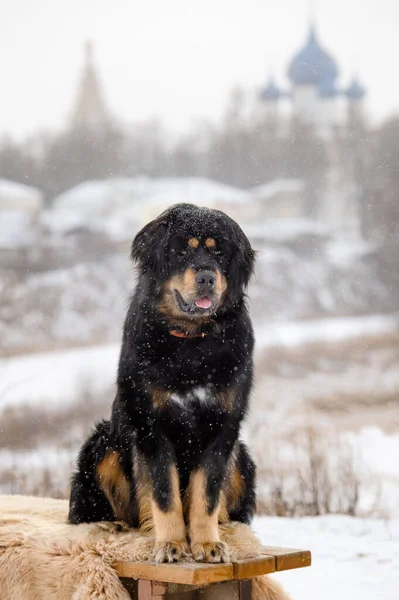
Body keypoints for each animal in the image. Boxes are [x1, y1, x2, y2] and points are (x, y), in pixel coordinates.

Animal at [68, 204, 256, 564]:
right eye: (183, 249)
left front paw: (207, 544)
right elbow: (165, 493)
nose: (207, 277)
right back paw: (114, 526)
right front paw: (170, 544)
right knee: (91, 510)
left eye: (218, 251)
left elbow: (207, 494)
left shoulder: (223, 426)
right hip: (103, 444)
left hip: (241, 457)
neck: (191, 340)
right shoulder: (150, 424)